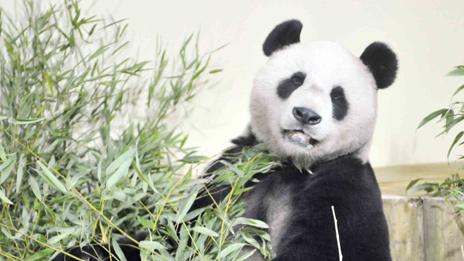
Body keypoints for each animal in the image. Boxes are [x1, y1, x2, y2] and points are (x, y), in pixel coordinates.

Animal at [54, 18, 396, 260]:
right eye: (295, 80)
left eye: (337, 96)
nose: (306, 115)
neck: (290, 164)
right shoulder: (233, 171)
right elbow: (172, 234)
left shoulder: (344, 187)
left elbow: (328, 247)